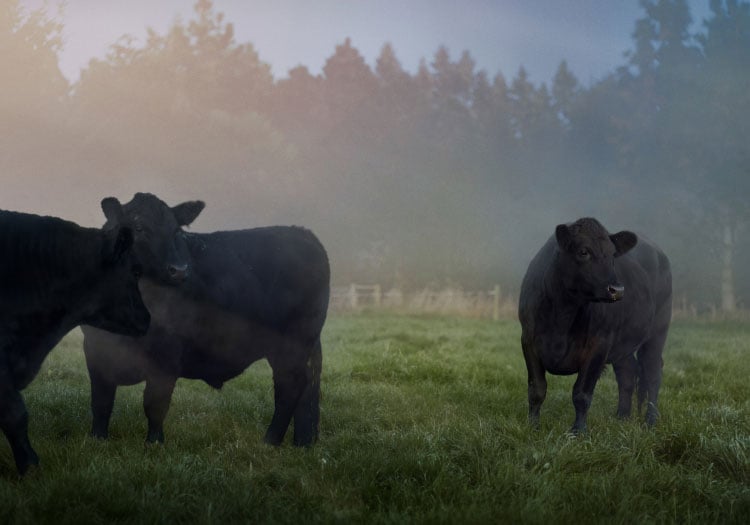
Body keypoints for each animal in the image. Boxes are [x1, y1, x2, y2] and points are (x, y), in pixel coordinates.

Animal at [81, 192, 330, 446]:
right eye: (139, 228)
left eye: (176, 230)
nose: (180, 270)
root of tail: (302, 233)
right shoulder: (95, 350)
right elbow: (101, 402)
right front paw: (97, 438)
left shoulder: (166, 355)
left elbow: (155, 404)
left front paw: (155, 443)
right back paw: (302, 442)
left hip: (293, 344)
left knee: (290, 386)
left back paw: (269, 441)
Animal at [520, 216, 672, 430]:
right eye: (583, 251)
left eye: (613, 255)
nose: (617, 289)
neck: (562, 316)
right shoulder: (529, 340)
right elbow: (537, 389)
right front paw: (532, 426)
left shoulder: (599, 345)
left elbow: (582, 394)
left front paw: (578, 431)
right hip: (623, 342)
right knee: (627, 372)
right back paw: (622, 417)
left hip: (658, 331)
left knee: (652, 372)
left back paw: (650, 422)